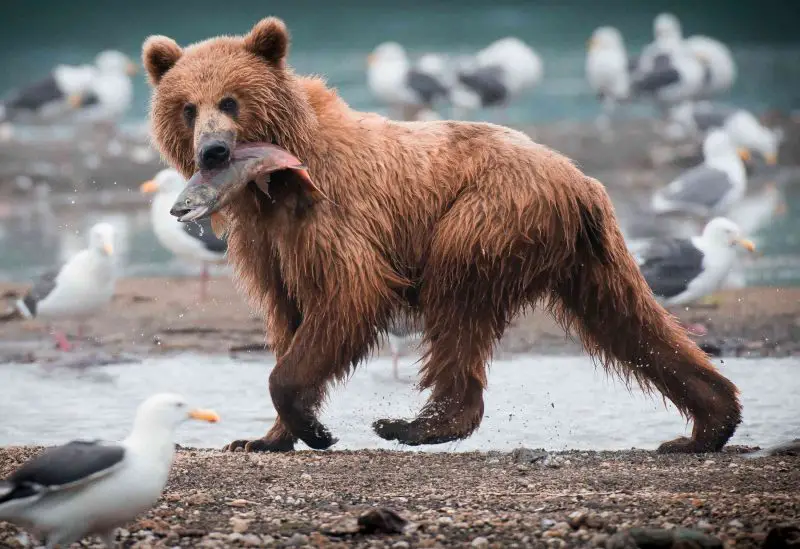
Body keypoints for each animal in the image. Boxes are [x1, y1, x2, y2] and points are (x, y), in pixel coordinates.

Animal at [142, 17, 741, 454]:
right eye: (188, 107)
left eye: (231, 100)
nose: (213, 151)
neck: (274, 181)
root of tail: (579, 179)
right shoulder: (268, 246)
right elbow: (287, 316)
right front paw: (263, 437)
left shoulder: (335, 214)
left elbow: (349, 294)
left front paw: (314, 427)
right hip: (586, 255)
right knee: (629, 321)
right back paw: (707, 424)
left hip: (486, 215)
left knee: (457, 306)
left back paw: (414, 424)